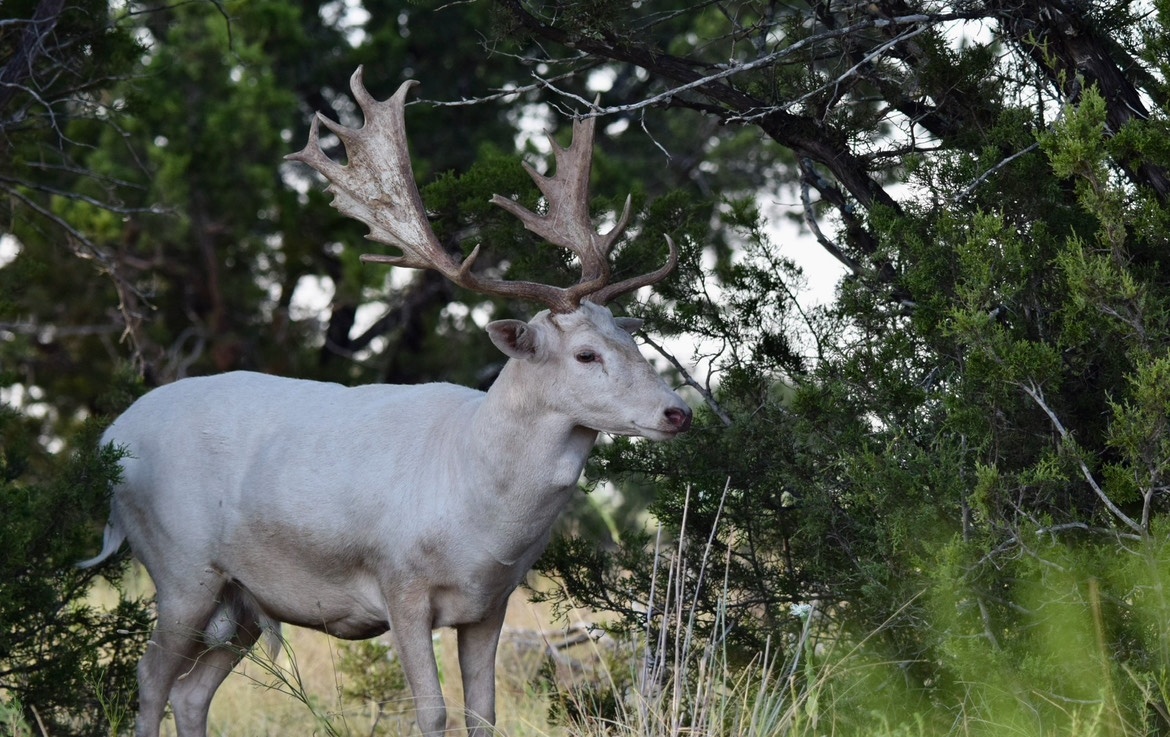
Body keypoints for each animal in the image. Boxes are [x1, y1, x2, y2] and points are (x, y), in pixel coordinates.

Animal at [82, 64, 687, 737]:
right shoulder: (401, 583)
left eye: (630, 339)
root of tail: (108, 440)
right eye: (585, 354)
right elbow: (433, 713)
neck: (480, 513)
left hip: (243, 598)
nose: (678, 411)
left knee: (190, 694)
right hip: (180, 563)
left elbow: (484, 715)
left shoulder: (492, 604)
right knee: (149, 680)